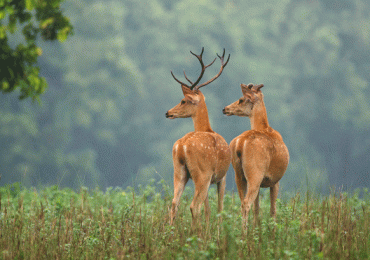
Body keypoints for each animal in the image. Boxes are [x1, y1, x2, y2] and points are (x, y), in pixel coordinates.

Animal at [165, 47, 231, 230]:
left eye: (183, 101)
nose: (168, 112)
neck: (206, 129)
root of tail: (182, 146)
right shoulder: (222, 176)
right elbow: (219, 208)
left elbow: (209, 210)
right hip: (202, 173)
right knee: (194, 206)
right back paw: (196, 234)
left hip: (180, 171)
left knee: (174, 203)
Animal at [223, 83, 290, 230]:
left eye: (241, 99)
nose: (225, 109)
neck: (264, 127)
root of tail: (240, 143)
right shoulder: (275, 180)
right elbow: (272, 210)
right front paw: (272, 231)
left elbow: (257, 209)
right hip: (255, 172)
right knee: (246, 203)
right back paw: (245, 232)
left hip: (239, 174)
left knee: (243, 203)